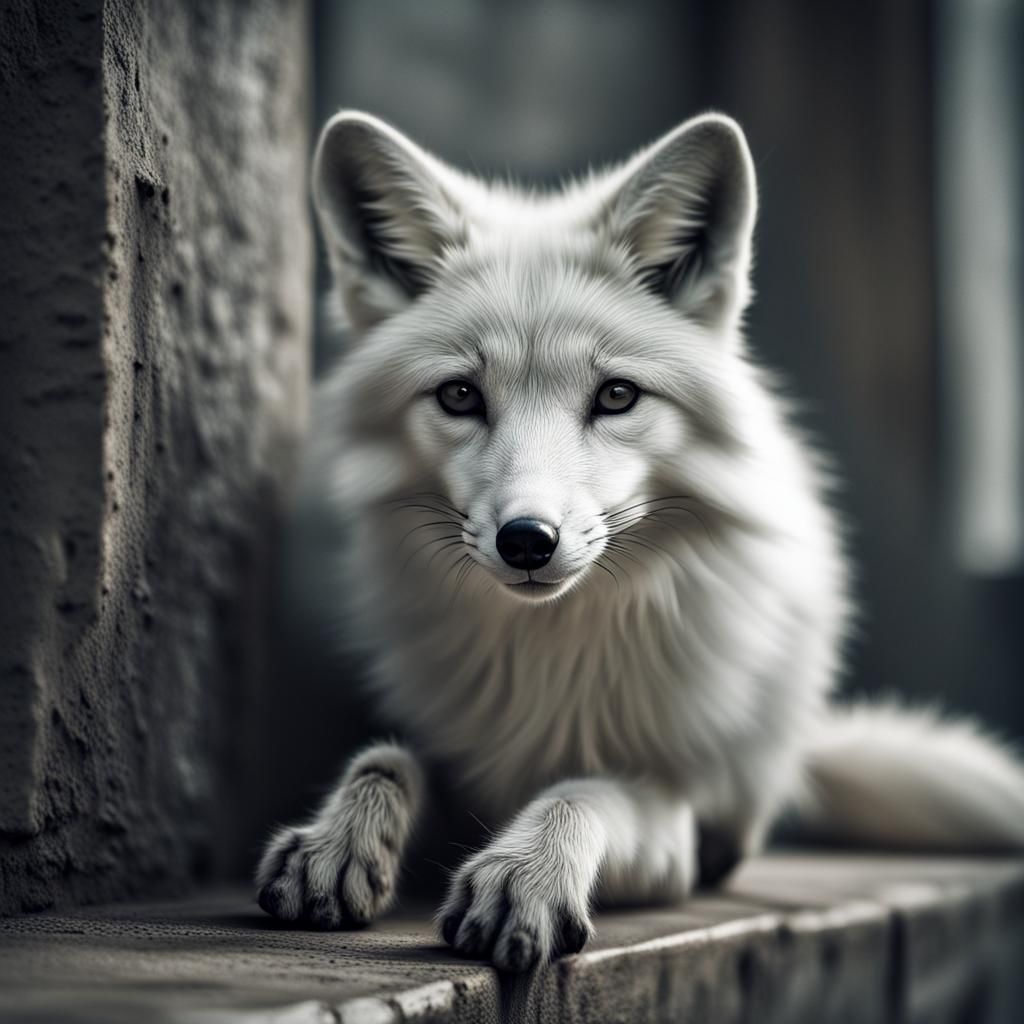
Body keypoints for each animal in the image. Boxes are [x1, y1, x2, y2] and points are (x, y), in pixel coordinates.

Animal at [255, 110, 1024, 973]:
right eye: (459, 396)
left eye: (617, 396)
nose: (528, 541)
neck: (548, 662)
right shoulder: (460, 761)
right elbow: (387, 760)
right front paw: (336, 842)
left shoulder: (671, 822)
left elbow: (586, 791)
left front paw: (526, 871)